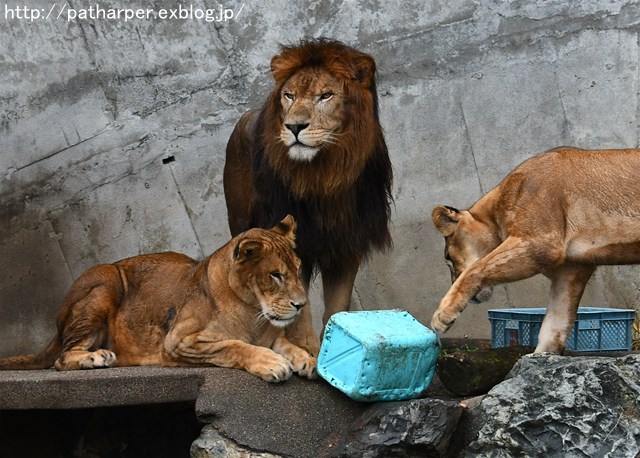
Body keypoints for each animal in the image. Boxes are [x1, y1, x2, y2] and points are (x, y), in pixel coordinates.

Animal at [0, 216, 318, 382]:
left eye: (297, 270)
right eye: (275, 275)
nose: (301, 305)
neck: (253, 310)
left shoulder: (269, 335)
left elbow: (286, 344)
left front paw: (307, 360)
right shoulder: (179, 341)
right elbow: (232, 346)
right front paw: (271, 363)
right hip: (106, 279)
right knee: (61, 358)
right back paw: (97, 356)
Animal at [222, 39, 392, 354]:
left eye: (325, 95)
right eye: (289, 96)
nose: (294, 126)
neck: (324, 175)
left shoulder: (345, 245)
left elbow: (336, 307)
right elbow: (294, 311)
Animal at [430, 148, 640, 354]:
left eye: (448, 257)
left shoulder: (541, 243)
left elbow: (476, 268)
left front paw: (442, 316)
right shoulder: (572, 270)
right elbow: (555, 321)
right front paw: (542, 355)